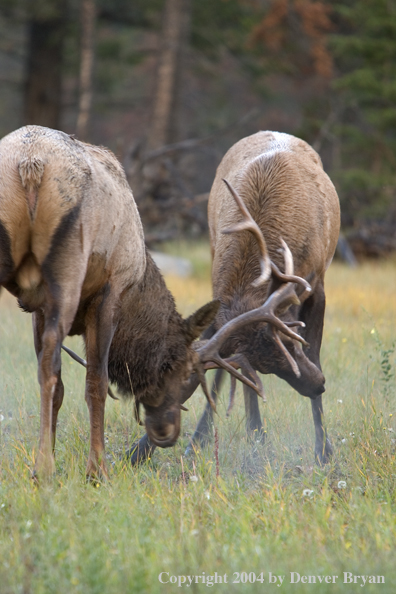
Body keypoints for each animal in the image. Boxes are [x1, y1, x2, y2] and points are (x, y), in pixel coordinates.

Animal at [130, 130, 340, 462]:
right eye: (268, 367)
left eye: (293, 344)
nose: (318, 385)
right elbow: (227, 371)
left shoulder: (316, 283)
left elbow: (315, 352)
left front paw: (323, 450)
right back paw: (243, 434)